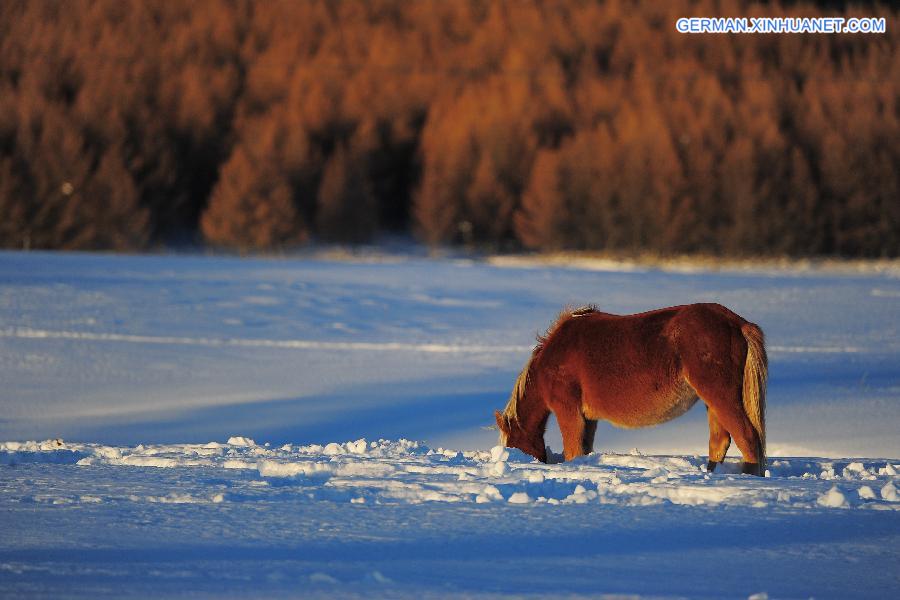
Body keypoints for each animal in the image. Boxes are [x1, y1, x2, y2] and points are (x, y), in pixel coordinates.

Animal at [496, 304, 768, 478]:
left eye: (513, 445)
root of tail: (738, 323)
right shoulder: (588, 418)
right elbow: (584, 449)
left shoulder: (568, 411)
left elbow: (573, 451)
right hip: (712, 401)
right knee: (720, 441)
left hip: (720, 395)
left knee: (747, 437)